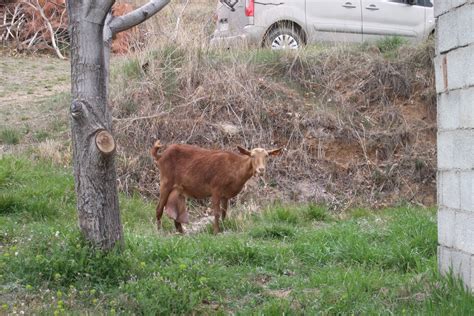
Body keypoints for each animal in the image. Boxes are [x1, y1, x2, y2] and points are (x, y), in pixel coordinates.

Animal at [151, 141, 282, 235]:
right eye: (252, 156)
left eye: (267, 156)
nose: (261, 170)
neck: (235, 168)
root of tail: (160, 156)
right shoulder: (216, 189)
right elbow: (217, 213)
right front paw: (215, 231)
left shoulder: (225, 195)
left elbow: (224, 212)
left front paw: (223, 227)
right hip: (165, 182)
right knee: (159, 208)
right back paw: (159, 231)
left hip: (177, 189)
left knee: (175, 211)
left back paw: (181, 231)